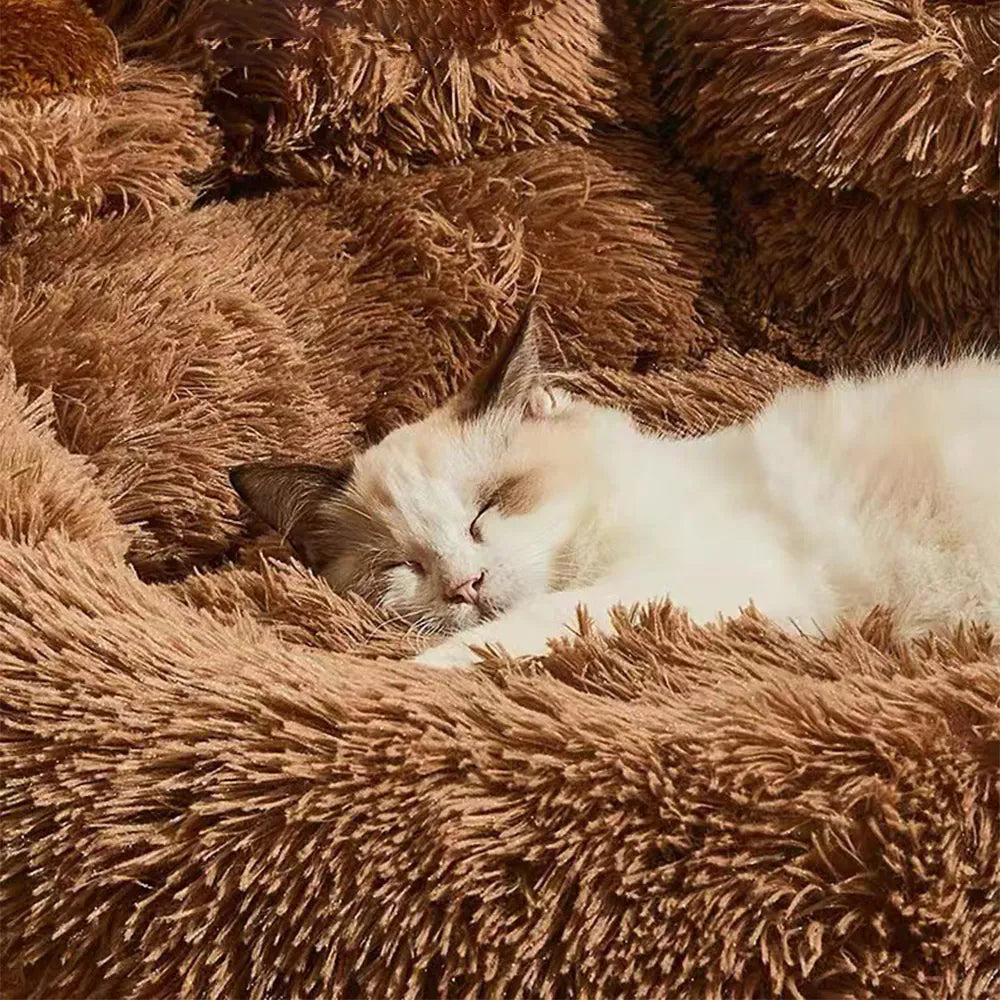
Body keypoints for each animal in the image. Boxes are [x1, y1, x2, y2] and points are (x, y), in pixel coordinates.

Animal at [229, 300, 1000, 668]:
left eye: (489, 508)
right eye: (401, 565)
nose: (465, 587)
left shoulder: (687, 581)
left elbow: (529, 625)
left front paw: (414, 677)